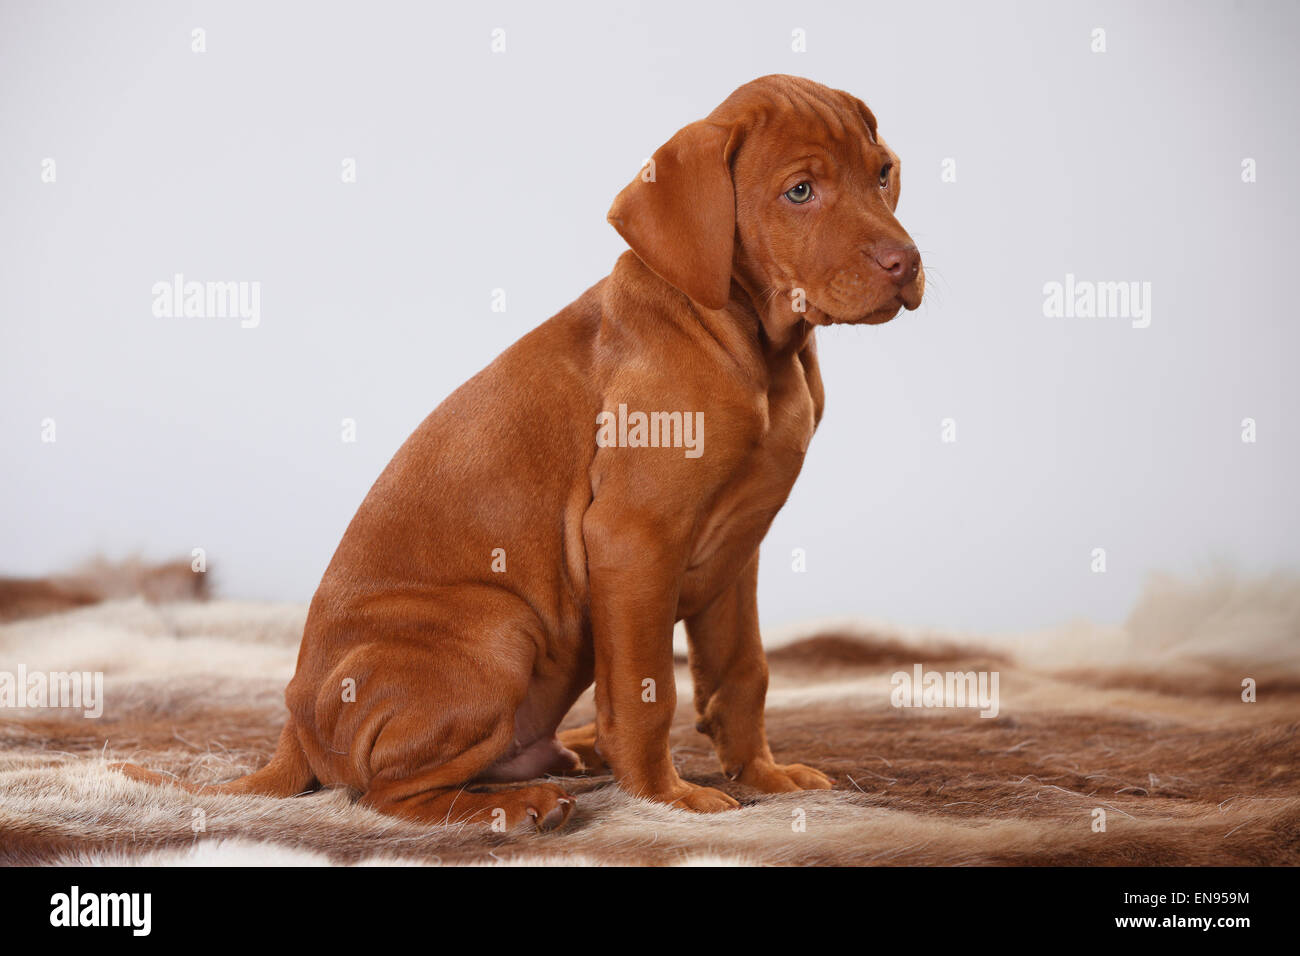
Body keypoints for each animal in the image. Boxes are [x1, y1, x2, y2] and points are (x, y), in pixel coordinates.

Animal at [114, 74, 925, 832]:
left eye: (883, 173)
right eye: (800, 191)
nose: (906, 262)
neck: (753, 345)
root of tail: (293, 725)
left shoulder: (737, 549)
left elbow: (742, 672)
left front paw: (765, 777)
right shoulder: (633, 539)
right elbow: (647, 691)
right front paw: (665, 798)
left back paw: (567, 755)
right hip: (501, 626)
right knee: (376, 793)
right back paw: (519, 806)